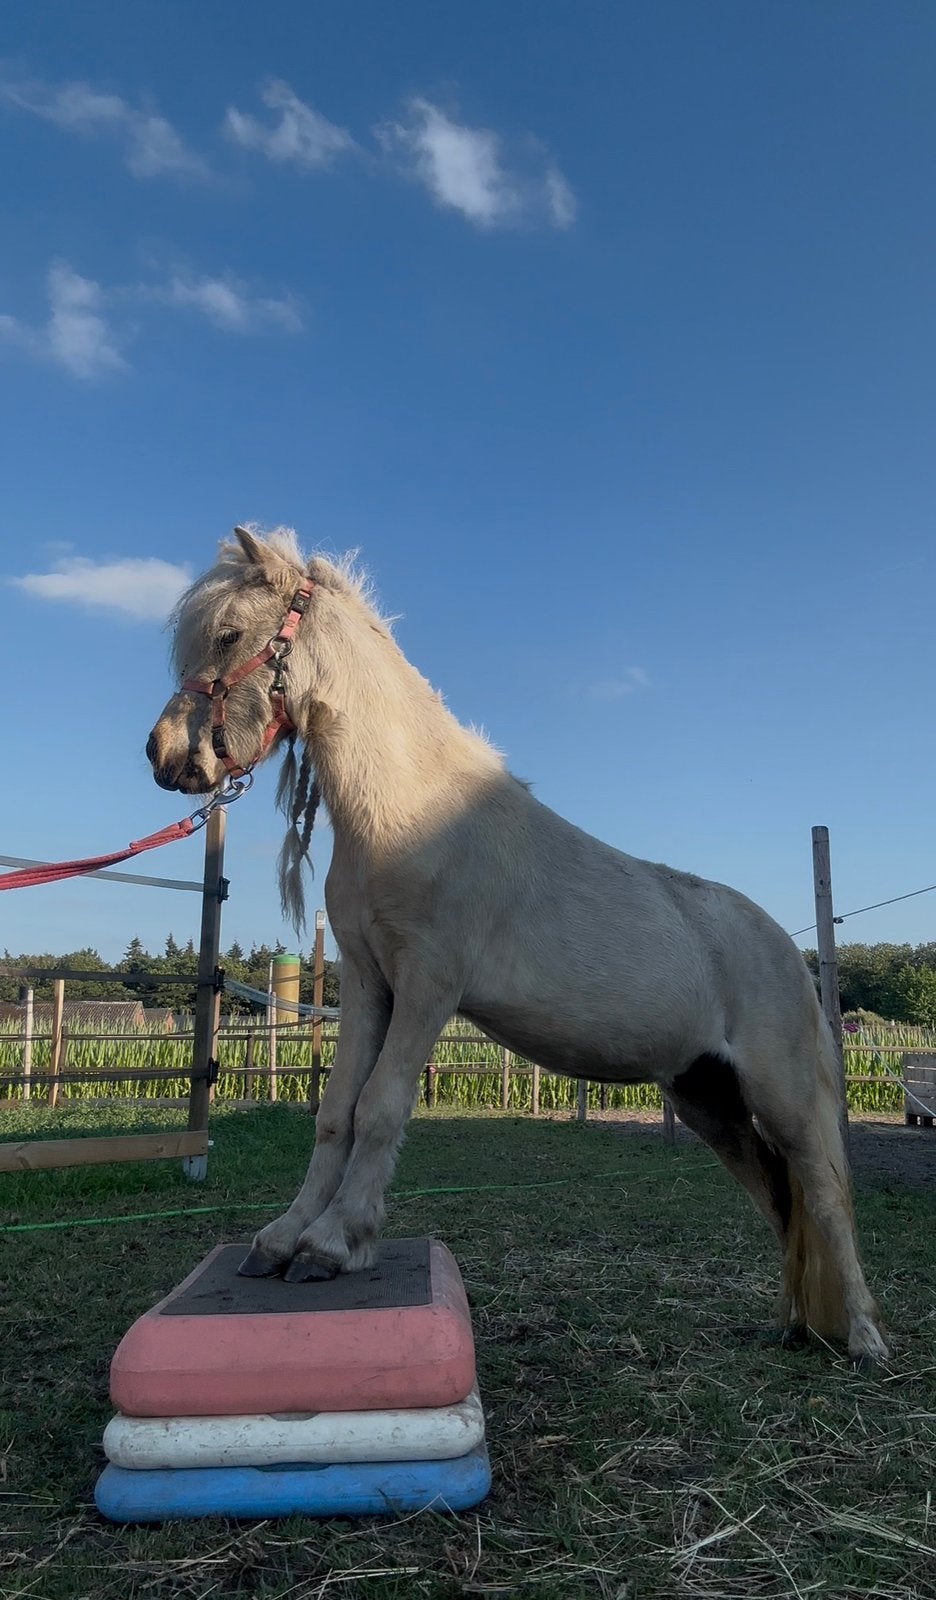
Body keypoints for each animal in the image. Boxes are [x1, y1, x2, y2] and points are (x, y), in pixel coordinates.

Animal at [146, 525, 888, 1362]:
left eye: (229, 634)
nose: (164, 754)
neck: (406, 812)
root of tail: (790, 955)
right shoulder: (370, 983)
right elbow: (336, 1111)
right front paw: (284, 1238)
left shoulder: (429, 986)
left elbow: (380, 1106)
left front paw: (333, 1244)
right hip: (708, 1100)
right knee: (780, 1198)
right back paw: (793, 1326)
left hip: (782, 1094)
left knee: (821, 1192)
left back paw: (864, 1339)